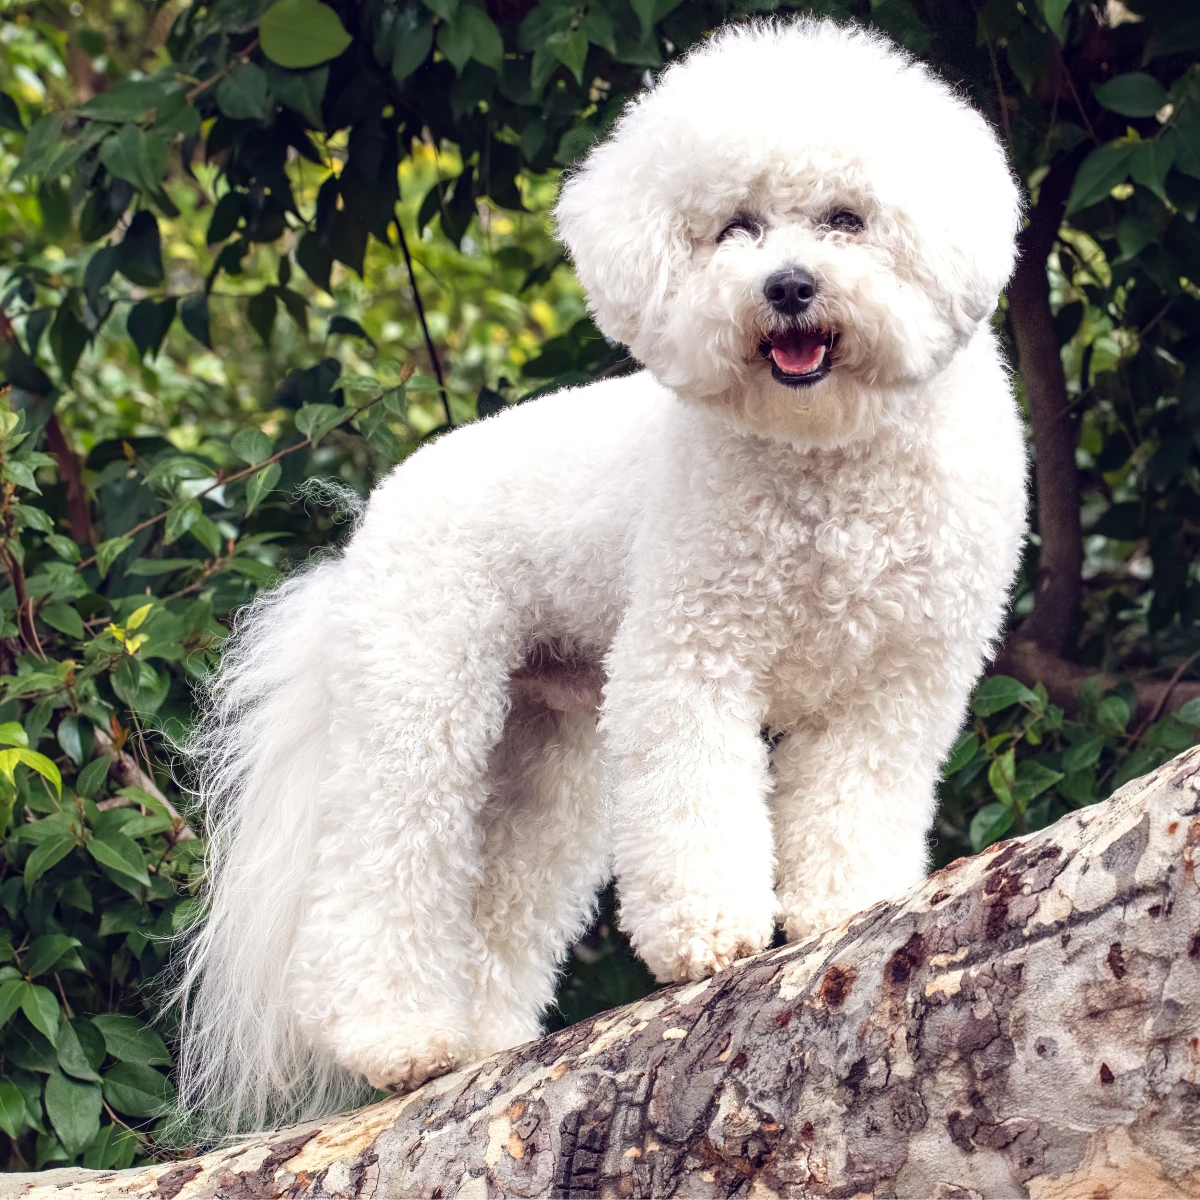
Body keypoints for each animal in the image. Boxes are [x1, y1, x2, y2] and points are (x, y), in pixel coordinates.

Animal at [174, 18, 1027, 1132]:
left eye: (849, 218)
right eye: (735, 228)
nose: (788, 286)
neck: (824, 459)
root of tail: (372, 520)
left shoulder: (900, 680)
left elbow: (857, 799)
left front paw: (847, 903)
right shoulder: (688, 658)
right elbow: (695, 808)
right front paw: (710, 936)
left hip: (549, 763)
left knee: (506, 897)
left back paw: (485, 1042)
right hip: (419, 705)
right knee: (382, 872)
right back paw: (398, 1039)